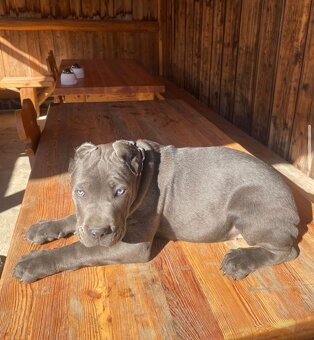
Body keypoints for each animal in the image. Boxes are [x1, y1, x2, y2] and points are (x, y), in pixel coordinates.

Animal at [14, 139, 300, 282]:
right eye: (79, 192)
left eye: (120, 192)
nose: (99, 232)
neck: (140, 174)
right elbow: (76, 219)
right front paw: (45, 228)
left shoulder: (132, 244)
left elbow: (78, 250)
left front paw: (34, 263)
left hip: (247, 202)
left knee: (287, 251)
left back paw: (240, 260)